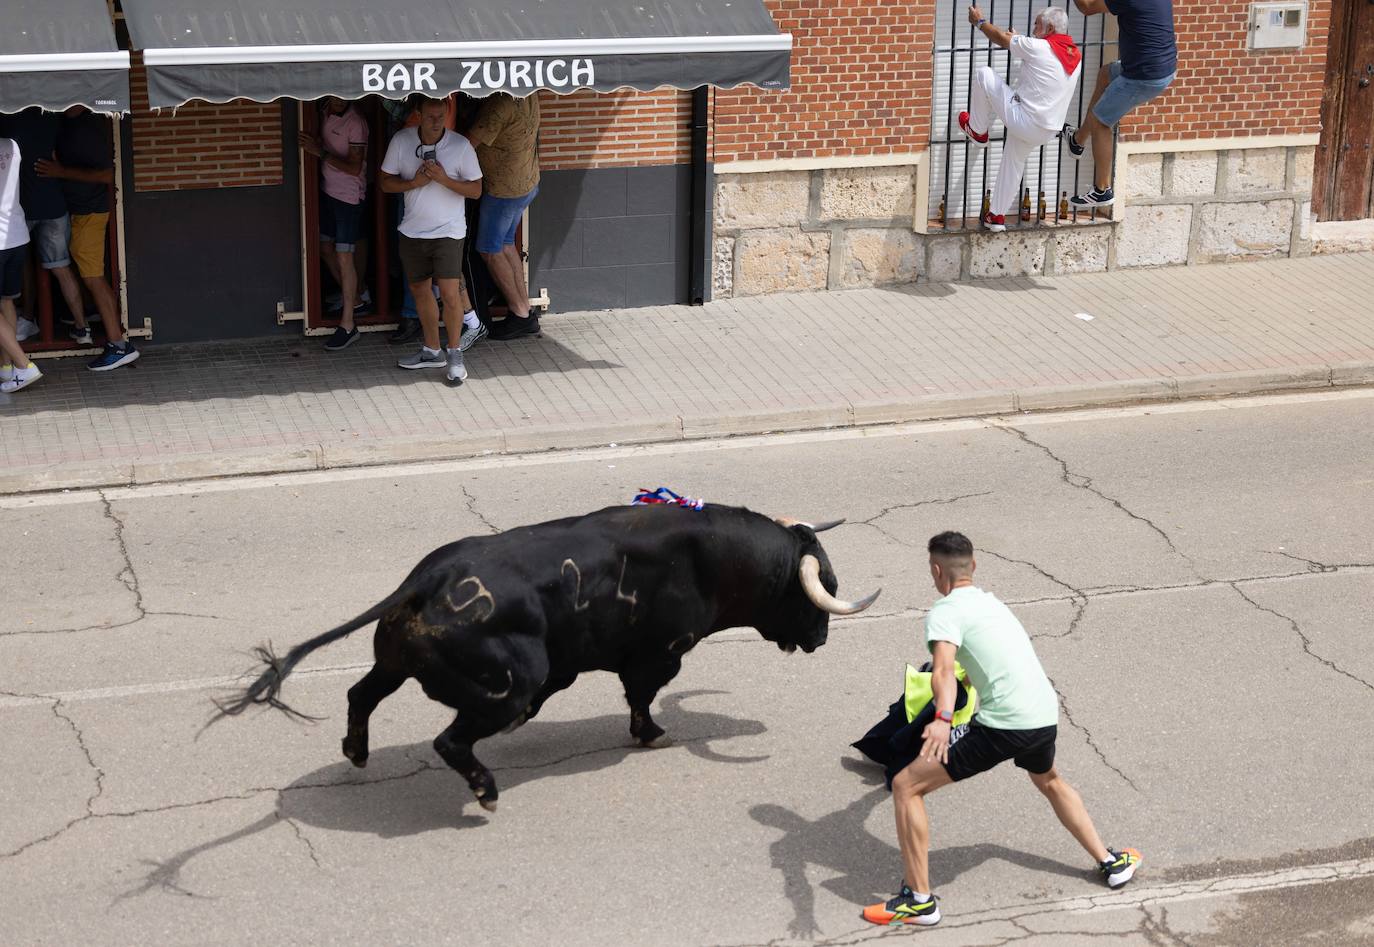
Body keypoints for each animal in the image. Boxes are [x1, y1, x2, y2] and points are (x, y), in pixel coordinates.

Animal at [214, 505, 879, 808]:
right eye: (820, 587)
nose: (822, 638)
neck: (711, 557)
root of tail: (429, 578)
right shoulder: (658, 655)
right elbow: (642, 696)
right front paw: (652, 734)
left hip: (395, 661)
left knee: (362, 693)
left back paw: (356, 753)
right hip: (510, 684)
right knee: (452, 739)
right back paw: (484, 790)